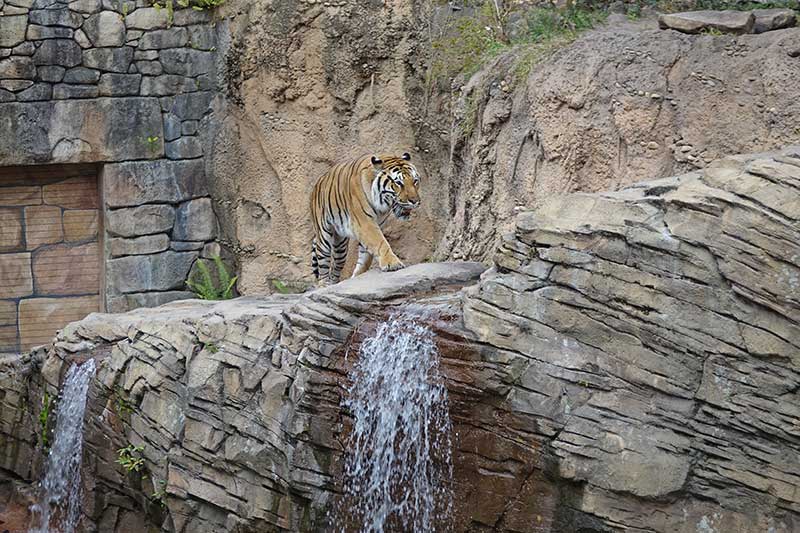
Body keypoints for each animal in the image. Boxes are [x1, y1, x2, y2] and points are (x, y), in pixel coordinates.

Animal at [310, 152, 421, 285]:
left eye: (415, 181)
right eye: (399, 183)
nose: (415, 201)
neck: (381, 205)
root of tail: (319, 181)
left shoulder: (375, 224)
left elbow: (366, 257)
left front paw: (358, 276)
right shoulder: (365, 223)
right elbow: (380, 242)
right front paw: (393, 263)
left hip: (340, 245)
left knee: (336, 266)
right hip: (324, 236)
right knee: (323, 265)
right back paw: (324, 284)